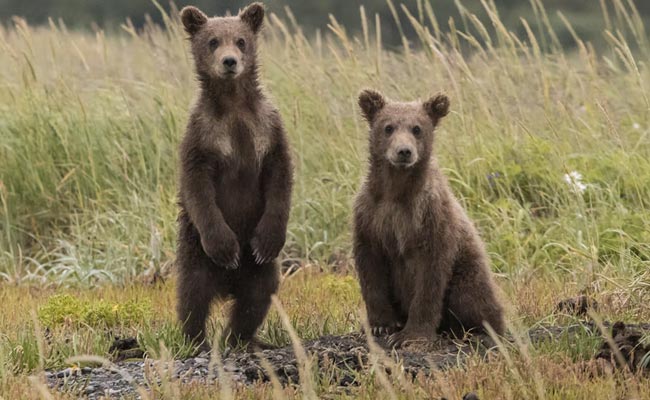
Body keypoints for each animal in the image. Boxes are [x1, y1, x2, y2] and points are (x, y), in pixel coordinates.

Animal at [176, 2, 293, 351]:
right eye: (213, 41)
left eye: (240, 40)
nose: (230, 61)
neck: (233, 104)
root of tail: (227, 285)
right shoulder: (202, 135)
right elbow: (198, 187)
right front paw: (226, 248)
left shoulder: (268, 128)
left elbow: (280, 177)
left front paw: (267, 241)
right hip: (195, 251)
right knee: (193, 294)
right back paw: (196, 340)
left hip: (258, 271)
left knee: (257, 296)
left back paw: (243, 339)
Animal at [352, 89, 505, 348]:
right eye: (388, 127)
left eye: (417, 128)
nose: (404, 151)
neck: (397, 192)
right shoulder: (370, 215)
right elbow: (370, 268)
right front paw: (381, 325)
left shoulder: (430, 218)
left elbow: (430, 278)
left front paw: (411, 336)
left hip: (468, 271)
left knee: (472, 298)